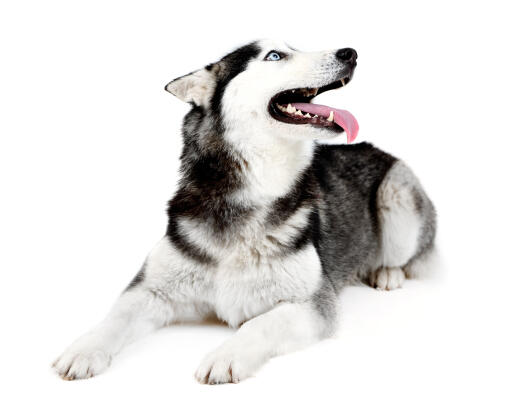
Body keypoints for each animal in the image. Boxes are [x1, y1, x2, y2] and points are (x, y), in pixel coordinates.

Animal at [53, 39, 436, 382]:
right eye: (276, 55)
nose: (350, 53)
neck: (246, 196)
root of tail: (377, 148)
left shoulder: (311, 303)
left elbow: (258, 324)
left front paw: (226, 356)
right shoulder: (150, 289)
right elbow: (115, 318)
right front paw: (84, 349)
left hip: (397, 197)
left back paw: (387, 273)